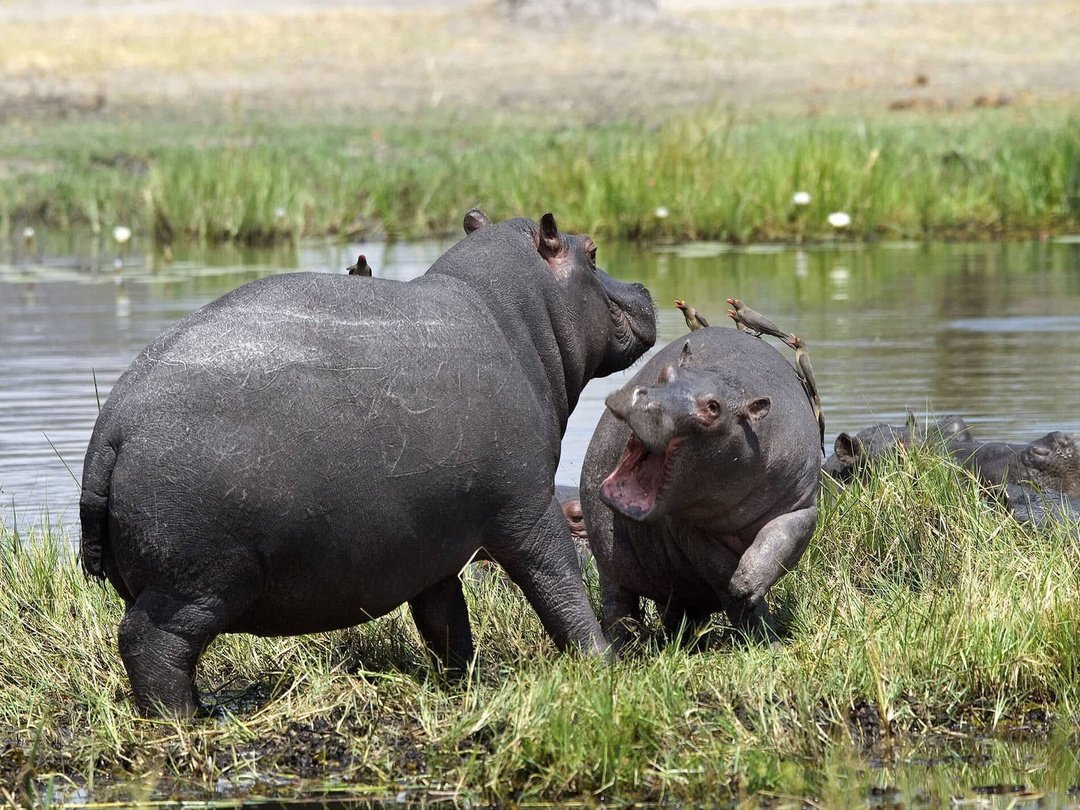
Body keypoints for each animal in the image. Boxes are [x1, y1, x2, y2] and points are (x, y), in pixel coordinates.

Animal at [80, 211, 656, 716]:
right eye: (592, 251)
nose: (646, 290)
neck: (515, 316)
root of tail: (113, 426)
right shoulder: (528, 507)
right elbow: (559, 587)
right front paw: (605, 665)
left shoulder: (434, 543)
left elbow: (446, 620)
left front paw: (467, 681)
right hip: (194, 585)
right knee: (151, 645)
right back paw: (183, 719)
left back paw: (200, 709)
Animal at [580, 330, 820, 648]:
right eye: (664, 373)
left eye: (713, 407)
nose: (644, 399)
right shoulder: (692, 530)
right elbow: (720, 572)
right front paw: (765, 635)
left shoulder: (801, 505)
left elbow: (779, 540)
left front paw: (746, 587)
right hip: (609, 563)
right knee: (619, 604)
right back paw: (624, 647)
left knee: (676, 607)